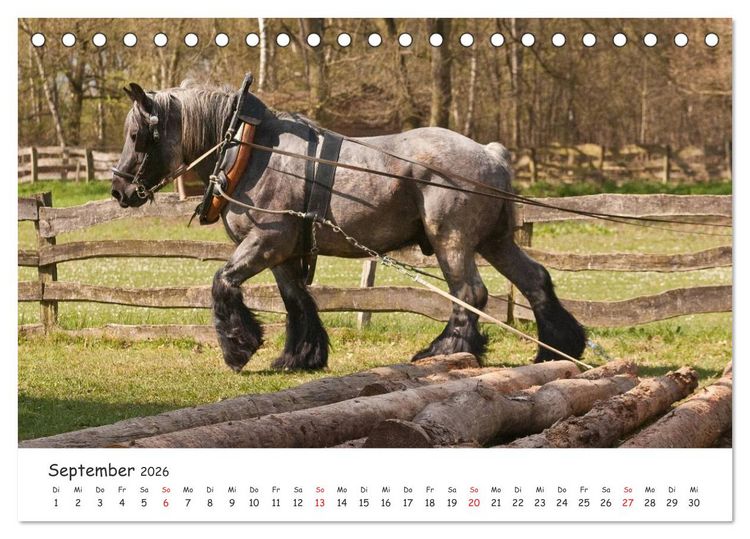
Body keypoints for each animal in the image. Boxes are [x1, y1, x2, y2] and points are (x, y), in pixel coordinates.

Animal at [111, 81, 586, 373]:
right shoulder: (282, 251)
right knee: (535, 280)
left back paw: (444, 351)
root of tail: (491, 153)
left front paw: (238, 347)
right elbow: (297, 302)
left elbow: (222, 282)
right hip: (494, 241)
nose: (118, 189)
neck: (248, 149)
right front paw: (300, 356)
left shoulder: (267, 240)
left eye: (137, 136)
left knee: (469, 293)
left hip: (451, 240)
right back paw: (558, 348)